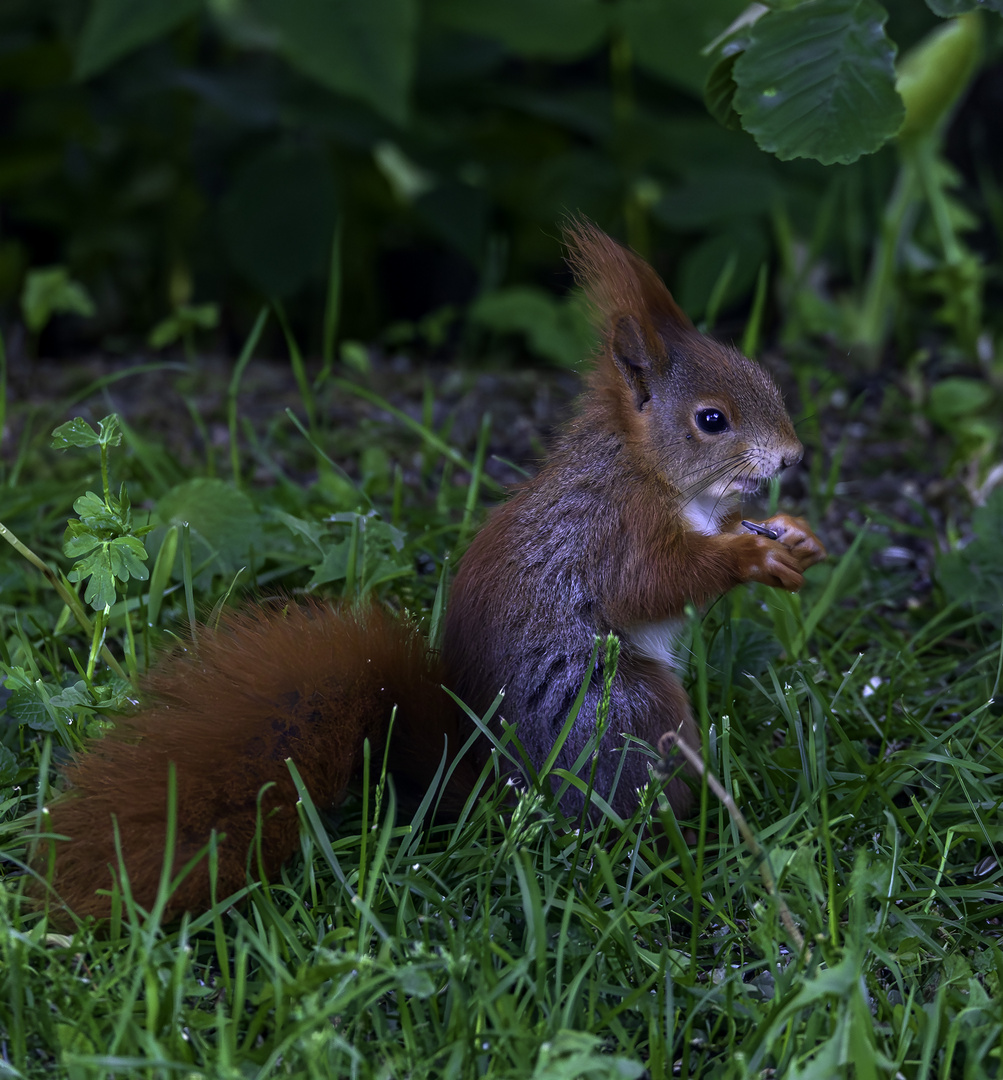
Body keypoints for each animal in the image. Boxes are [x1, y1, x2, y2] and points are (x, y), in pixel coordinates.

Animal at [39, 221, 820, 920]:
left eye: (765, 380)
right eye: (711, 420)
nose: (792, 456)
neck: (652, 472)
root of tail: (511, 792)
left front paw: (793, 535)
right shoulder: (615, 530)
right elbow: (652, 585)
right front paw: (749, 556)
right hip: (629, 709)